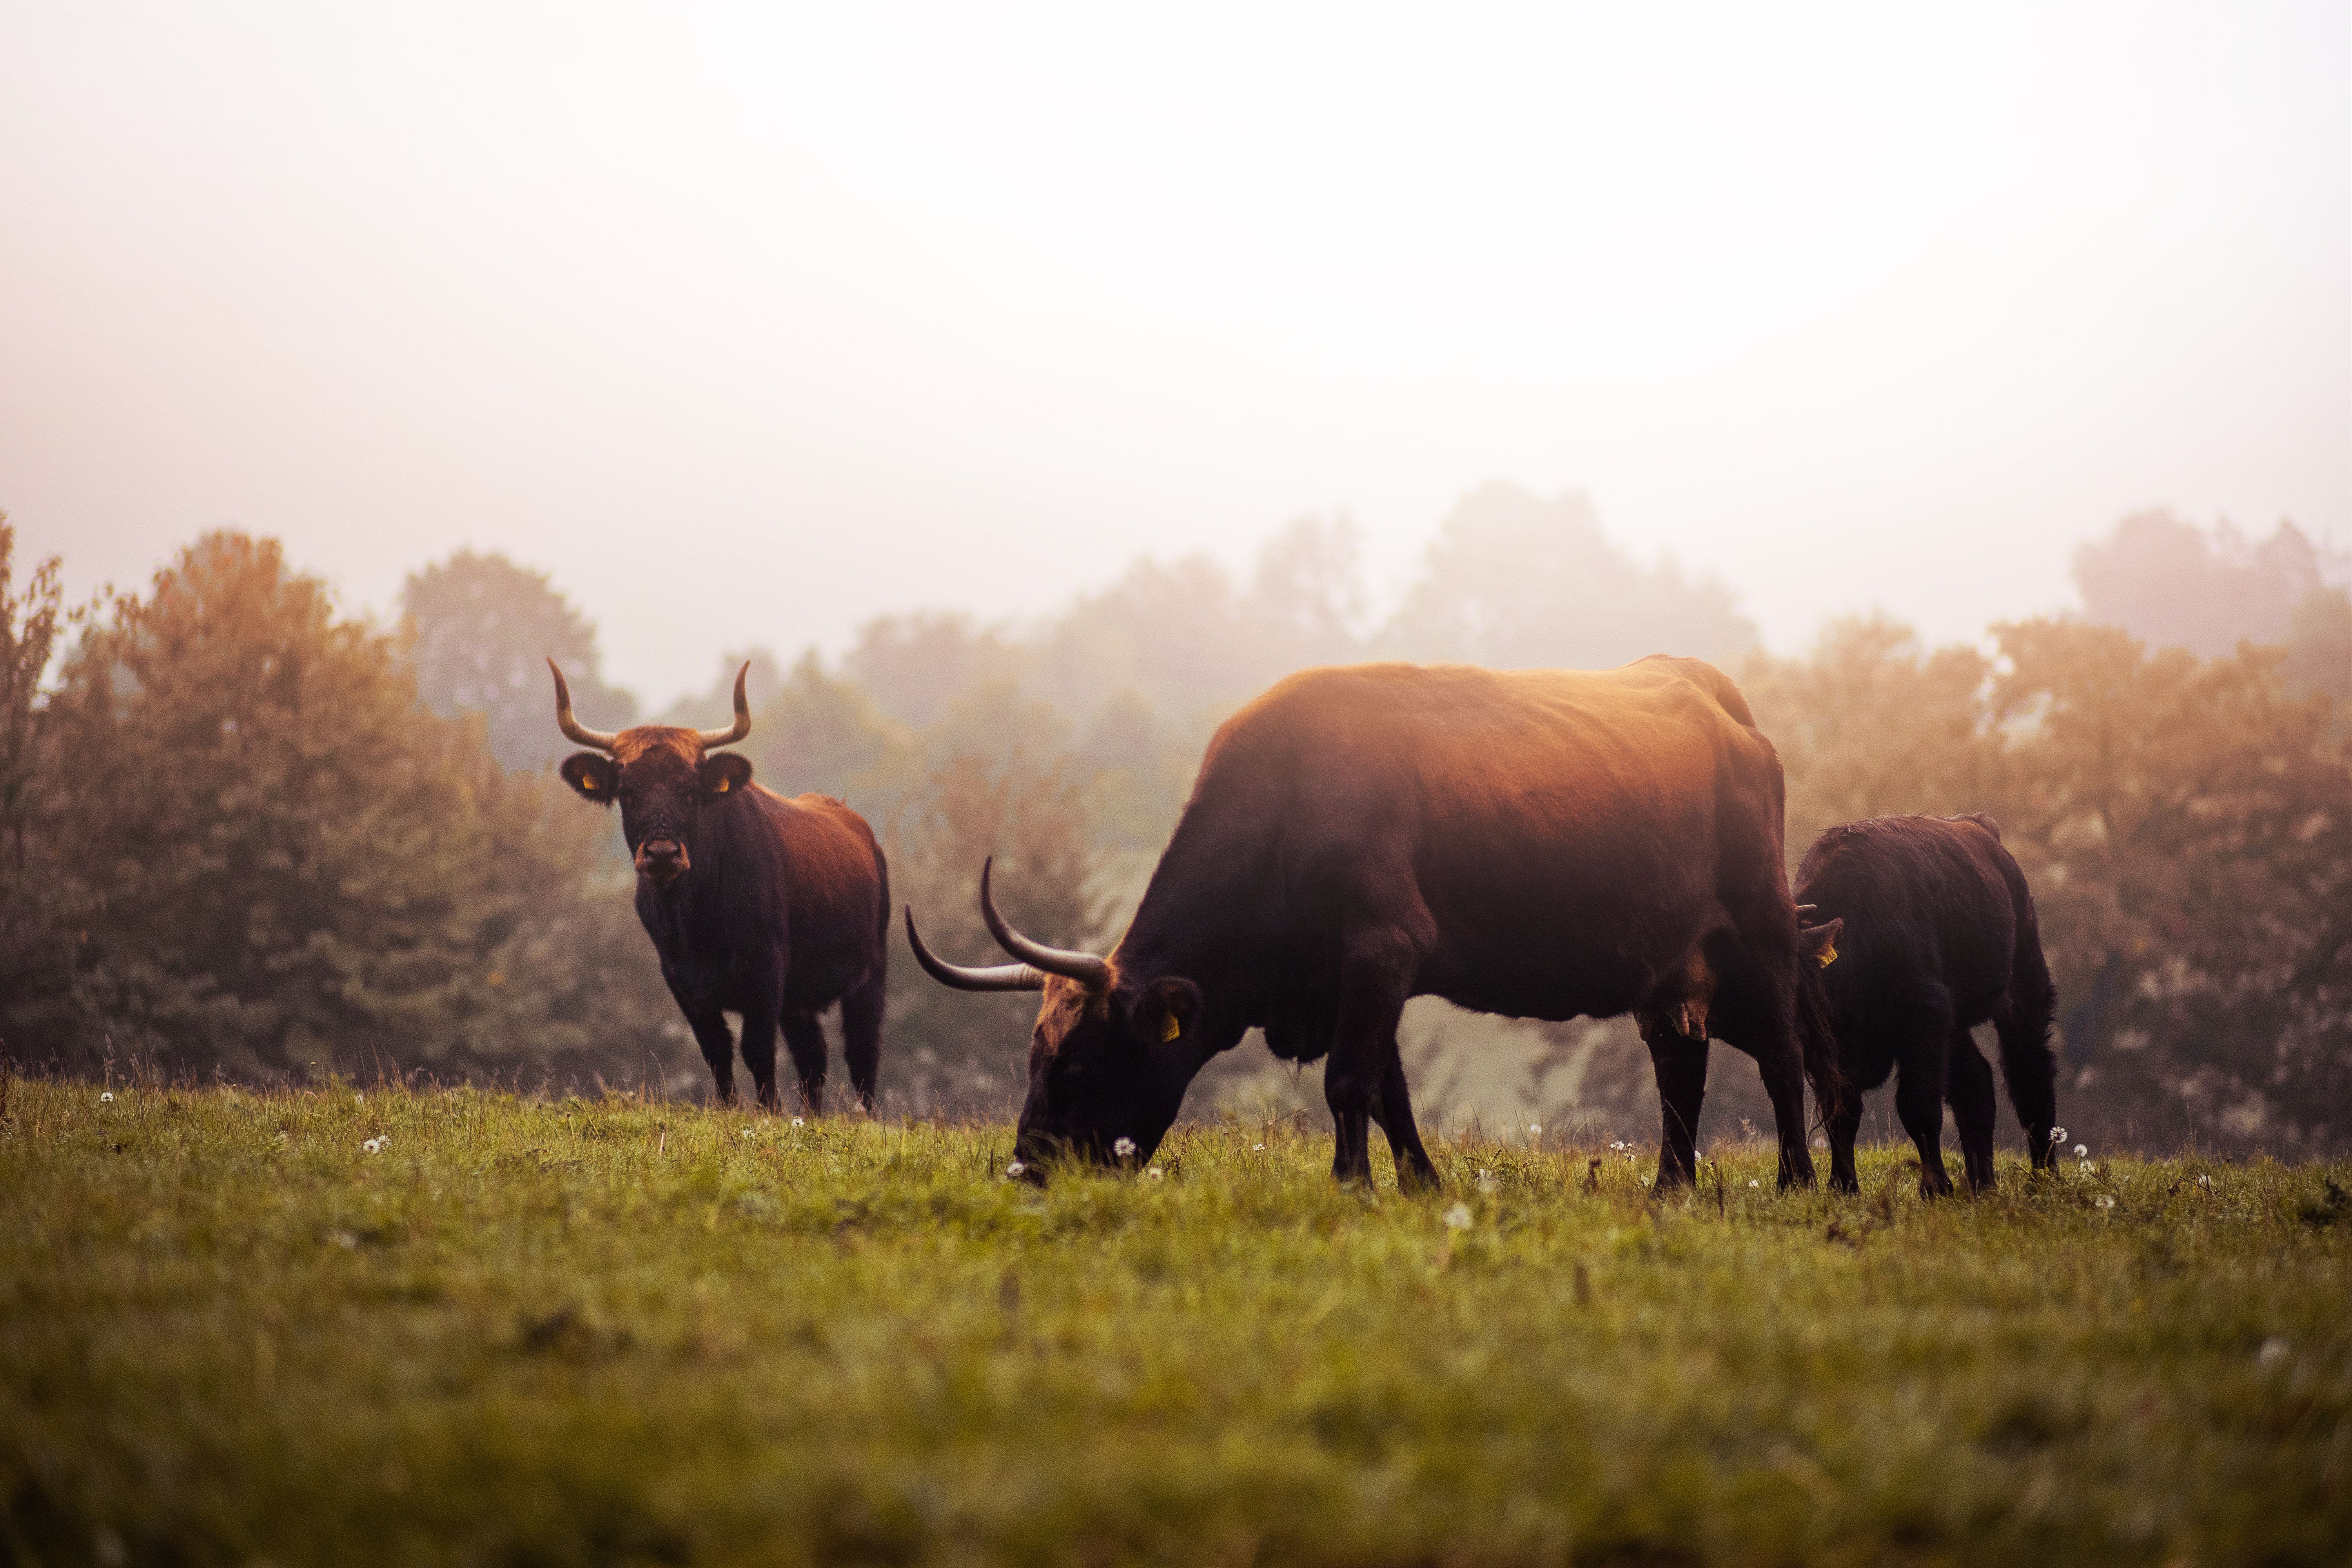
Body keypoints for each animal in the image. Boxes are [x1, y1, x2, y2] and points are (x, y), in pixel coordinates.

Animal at [550, 663, 889, 1114]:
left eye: (690, 791)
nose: (662, 854)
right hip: (801, 999)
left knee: (862, 1052)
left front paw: (770, 1113)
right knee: (813, 1057)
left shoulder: (765, 972)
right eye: (627, 792)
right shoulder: (683, 980)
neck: (698, 916)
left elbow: (757, 1050)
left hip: (870, 974)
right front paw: (732, 1110)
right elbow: (717, 1052)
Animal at [898, 658, 1835, 1189]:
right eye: (1033, 1058)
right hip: (1667, 972)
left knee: (1784, 1059)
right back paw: (1670, 1191)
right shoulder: (1355, 975)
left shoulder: (1382, 948)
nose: (1027, 1168)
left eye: (1081, 1065)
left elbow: (1349, 1081)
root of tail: (1719, 701)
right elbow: (1390, 1090)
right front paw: (1418, 1186)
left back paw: (1803, 1183)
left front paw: (1353, 1188)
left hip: (1762, 937)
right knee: (1682, 1069)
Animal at [1797, 818, 2060, 1194]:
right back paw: (1982, 1185)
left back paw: (2044, 1178)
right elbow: (1841, 1112)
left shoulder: (1925, 1014)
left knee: (2031, 1074)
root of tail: (1981, 827)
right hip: (1956, 1023)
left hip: (2025, 988)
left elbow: (1918, 1105)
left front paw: (1935, 1187)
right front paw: (1843, 1187)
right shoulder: (1829, 1054)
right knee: (1975, 1084)